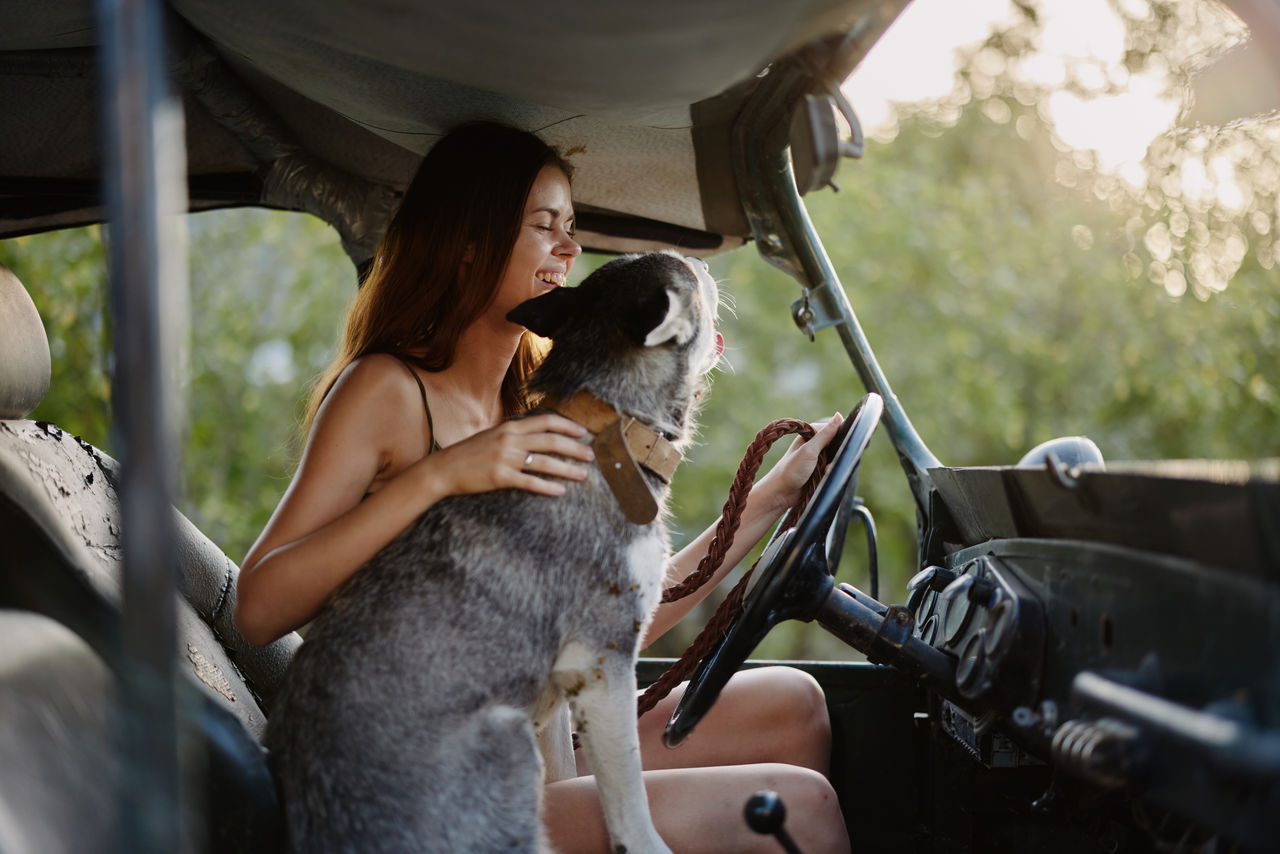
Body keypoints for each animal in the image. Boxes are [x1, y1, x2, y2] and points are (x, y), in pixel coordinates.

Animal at [264, 250, 721, 850]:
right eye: (690, 275)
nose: (705, 263)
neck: (610, 431)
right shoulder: (603, 660)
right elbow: (629, 795)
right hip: (509, 740)